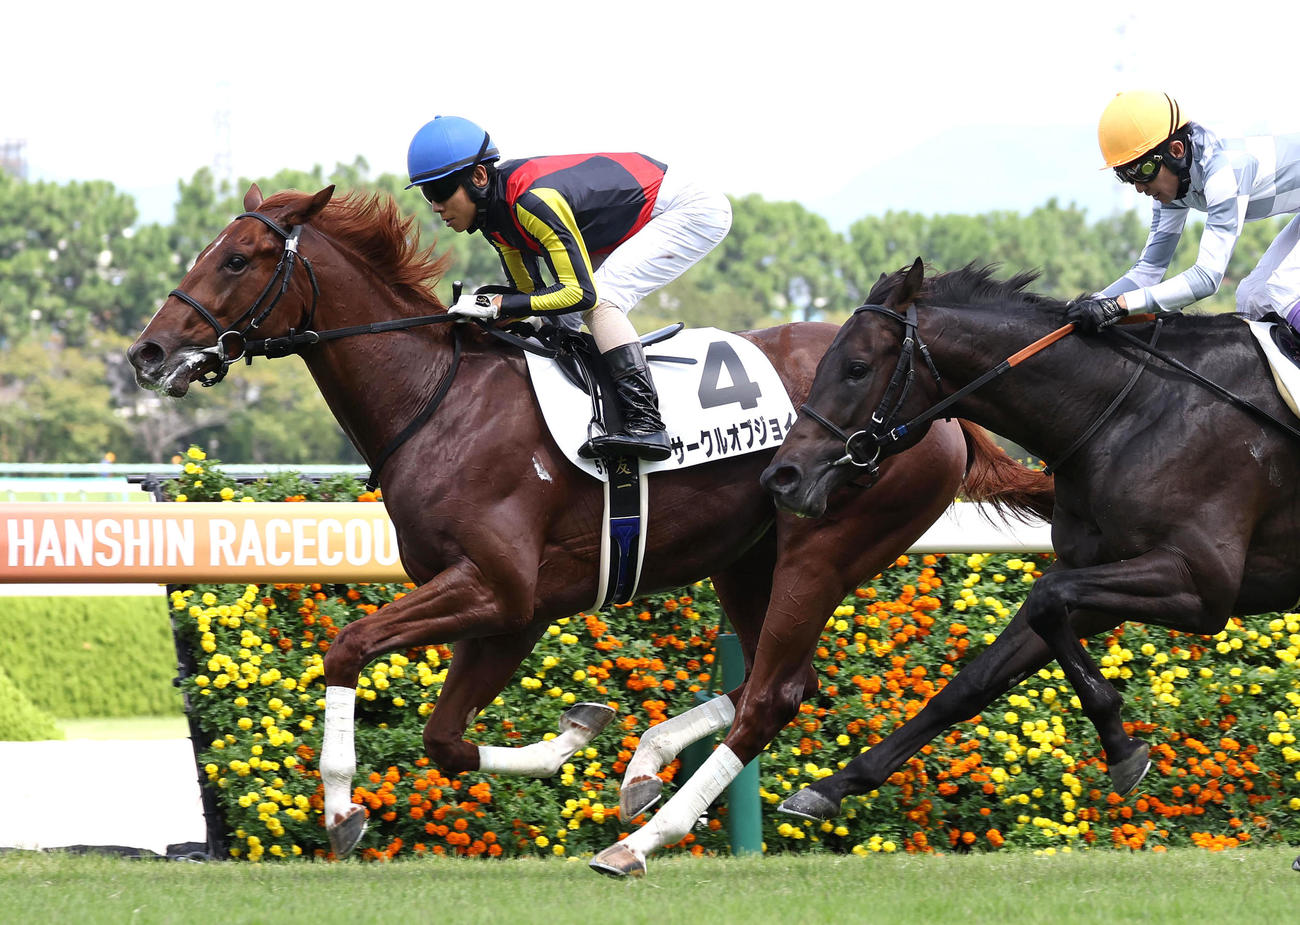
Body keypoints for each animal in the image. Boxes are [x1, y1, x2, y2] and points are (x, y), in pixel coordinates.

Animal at [127, 189, 1052, 876]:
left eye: (236, 259)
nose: (148, 352)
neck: (440, 398)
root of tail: (944, 410)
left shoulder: (496, 588)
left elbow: (349, 644)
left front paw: (340, 806)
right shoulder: (513, 611)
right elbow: (446, 739)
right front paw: (577, 732)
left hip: (824, 546)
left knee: (772, 693)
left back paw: (641, 838)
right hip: (750, 558)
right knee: (783, 680)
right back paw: (645, 768)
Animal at [760, 258, 1300, 828]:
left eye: (857, 368)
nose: (783, 477)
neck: (1132, 410)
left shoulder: (1200, 584)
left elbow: (1046, 597)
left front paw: (1122, 748)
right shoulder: (1102, 577)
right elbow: (973, 680)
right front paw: (830, 787)